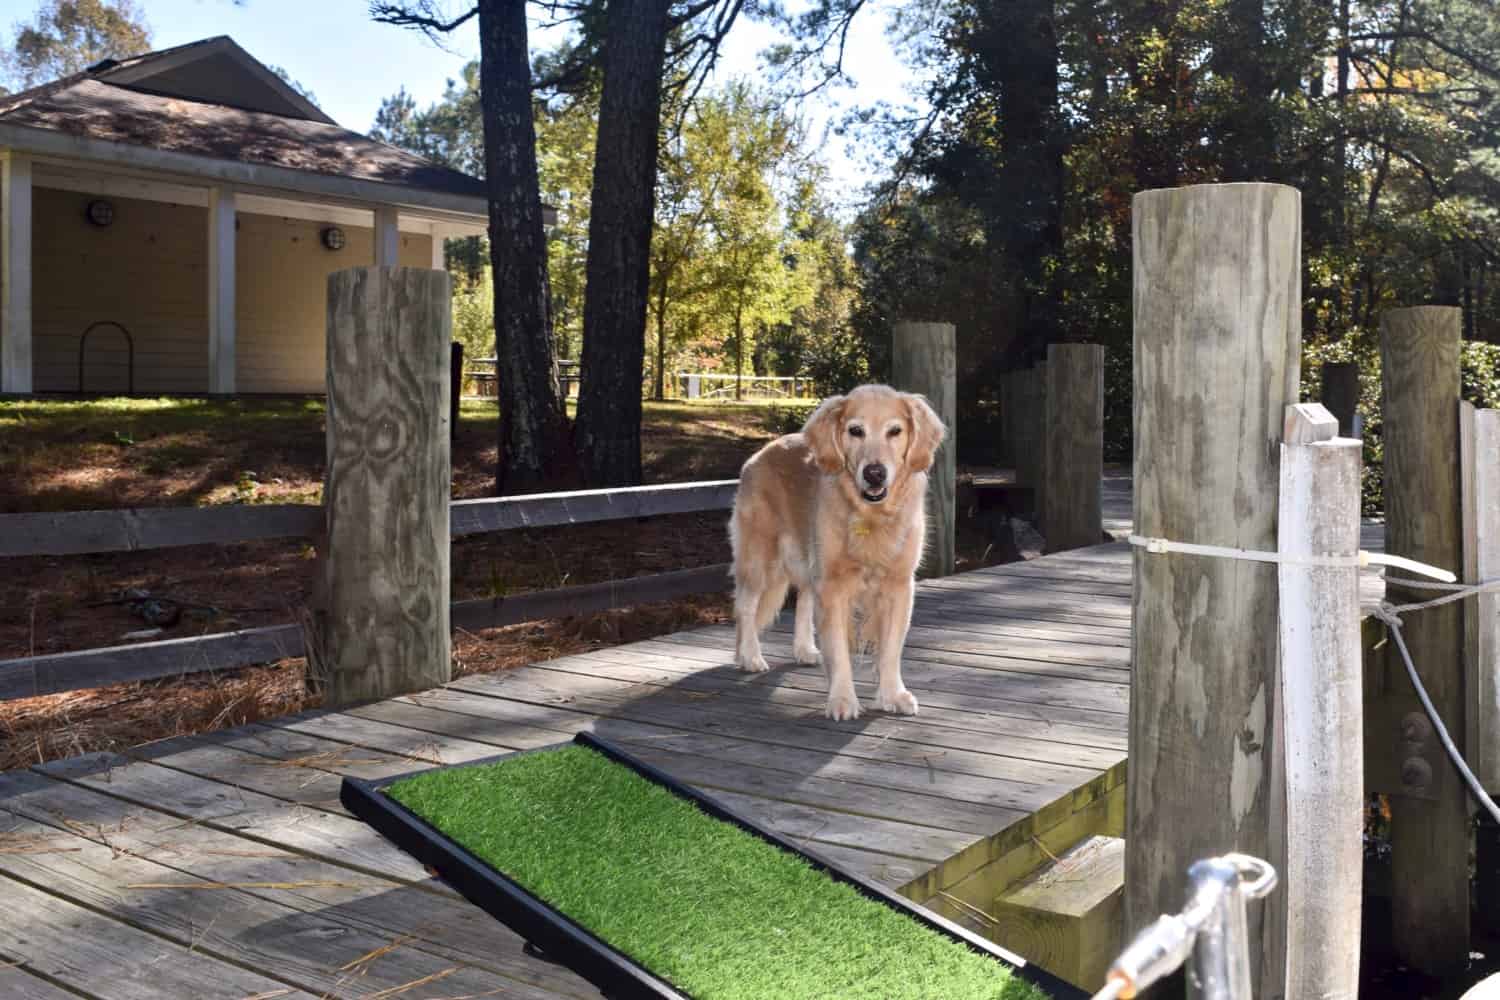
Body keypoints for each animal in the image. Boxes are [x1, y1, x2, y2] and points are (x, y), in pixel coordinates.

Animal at [729, 383, 948, 719]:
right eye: (855, 431)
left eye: (895, 431)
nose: (874, 473)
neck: (870, 514)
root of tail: (761, 452)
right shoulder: (833, 584)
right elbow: (839, 649)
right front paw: (843, 699)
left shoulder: (898, 585)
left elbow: (890, 650)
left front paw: (892, 694)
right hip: (760, 556)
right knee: (746, 606)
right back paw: (749, 656)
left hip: (807, 559)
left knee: (803, 600)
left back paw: (804, 649)